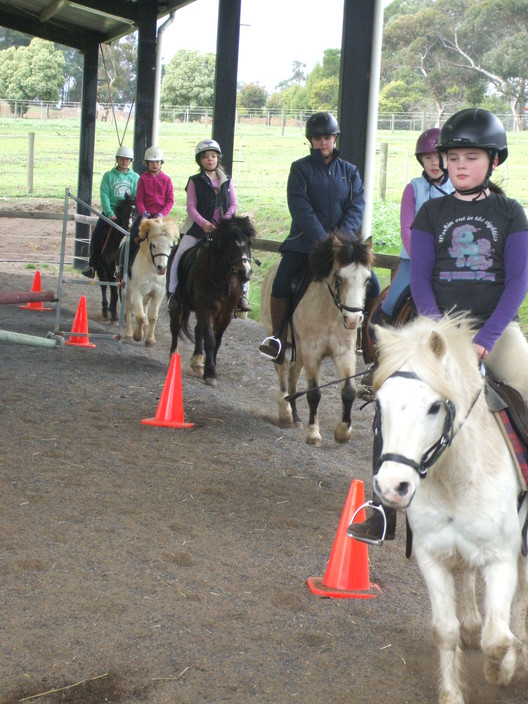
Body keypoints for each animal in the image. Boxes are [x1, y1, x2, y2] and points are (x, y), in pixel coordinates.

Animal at [95, 194, 136, 324]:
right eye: (126, 209)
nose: (130, 225)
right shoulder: (108, 265)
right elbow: (112, 289)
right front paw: (114, 314)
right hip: (100, 267)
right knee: (104, 285)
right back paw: (105, 309)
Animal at [125, 216, 178, 346]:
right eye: (153, 245)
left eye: (171, 246)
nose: (162, 268)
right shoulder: (137, 292)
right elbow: (140, 316)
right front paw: (138, 335)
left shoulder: (158, 294)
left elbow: (153, 317)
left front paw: (150, 339)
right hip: (128, 289)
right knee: (129, 308)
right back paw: (128, 332)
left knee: (145, 307)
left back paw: (145, 327)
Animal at [166, 217, 255, 388]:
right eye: (233, 244)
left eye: (249, 243)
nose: (245, 273)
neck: (221, 279)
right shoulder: (206, 309)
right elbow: (210, 340)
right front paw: (210, 373)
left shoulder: (225, 314)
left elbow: (217, 341)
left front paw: (208, 366)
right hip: (178, 307)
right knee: (175, 327)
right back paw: (173, 355)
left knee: (197, 329)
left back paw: (197, 361)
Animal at [260, 234, 372, 448]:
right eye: (339, 277)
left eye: (367, 279)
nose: (353, 320)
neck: (330, 311)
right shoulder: (312, 352)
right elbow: (314, 393)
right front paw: (313, 434)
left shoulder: (344, 353)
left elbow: (348, 391)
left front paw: (343, 432)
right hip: (277, 335)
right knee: (282, 368)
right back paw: (286, 413)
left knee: (293, 372)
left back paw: (295, 416)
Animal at [372, 314, 528, 704]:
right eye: (379, 402)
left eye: (433, 406)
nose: (392, 486)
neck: (456, 478)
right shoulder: (432, 556)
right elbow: (445, 630)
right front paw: (453, 693)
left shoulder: (502, 559)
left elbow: (497, 638)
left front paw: (503, 670)